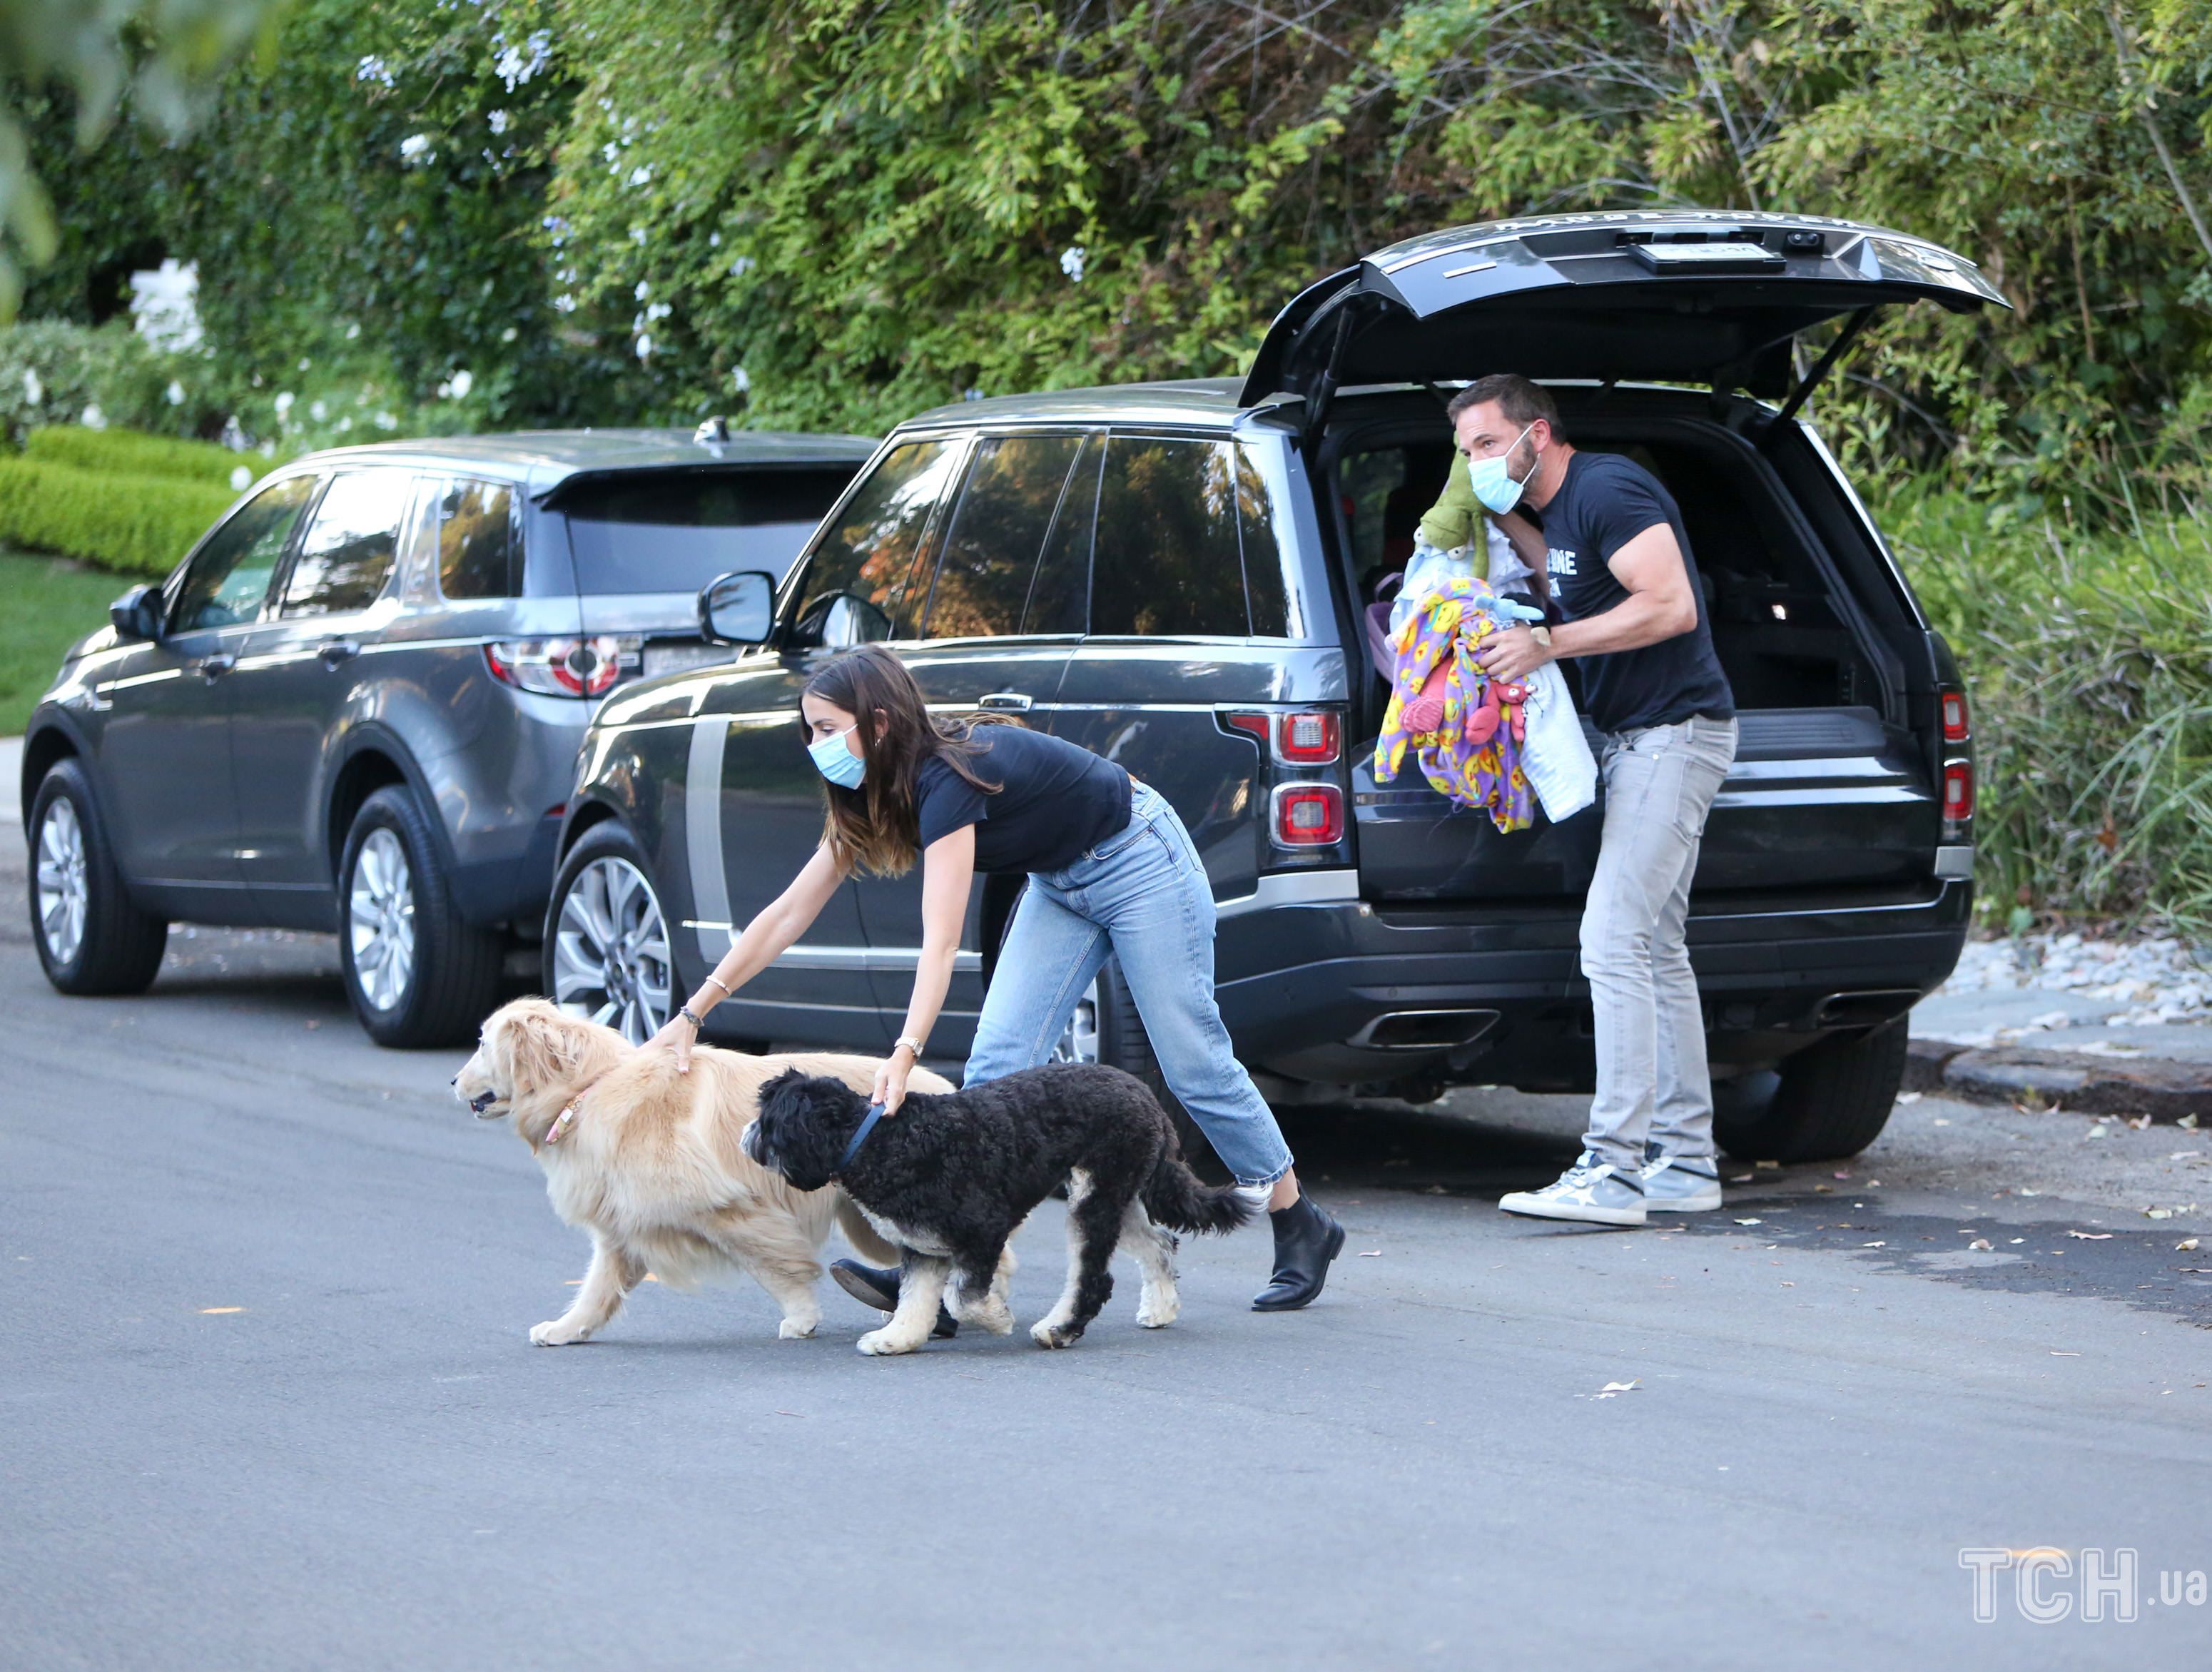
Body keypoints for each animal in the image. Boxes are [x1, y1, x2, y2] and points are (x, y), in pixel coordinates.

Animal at [752, 1065, 1256, 1353]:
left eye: (766, 1120)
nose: (746, 1135)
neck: (880, 1141)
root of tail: (1146, 1094)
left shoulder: (984, 1231)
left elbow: (965, 1297)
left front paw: (997, 1318)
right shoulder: (924, 1246)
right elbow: (916, 1298)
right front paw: (897, 1338)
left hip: (1096, 1196)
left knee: (1093, 1278)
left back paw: (1059, 1328)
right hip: (1118, 1193)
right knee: (1160, 1245)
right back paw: (1161, 1308)